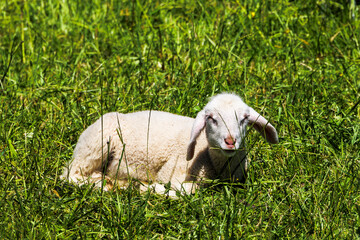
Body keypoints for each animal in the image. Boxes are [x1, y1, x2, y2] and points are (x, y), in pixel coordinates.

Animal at [61, 93, 278, 196]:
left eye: (244, 119)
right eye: (211, 118)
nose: (230, 141)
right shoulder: (173, 171)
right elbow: (191, 190)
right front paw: (149, 189)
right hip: (96, 144)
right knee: (71, 175)